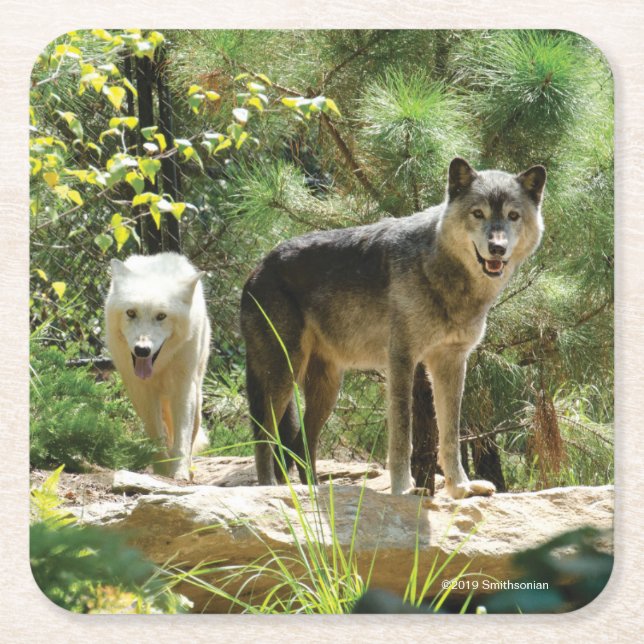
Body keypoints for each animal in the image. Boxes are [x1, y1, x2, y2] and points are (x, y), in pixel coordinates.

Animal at [105, 252, 211, 480]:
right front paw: (162, 468)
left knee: (192, 432)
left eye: (161, 316)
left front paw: (179, 473)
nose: (142, 350)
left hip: (197, 397)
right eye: (131, 313)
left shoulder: (183, 388)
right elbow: (156, 432)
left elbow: (182, 437)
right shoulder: (141, 390)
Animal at [241, 158, 546, 498]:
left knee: (300, 444)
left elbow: (450, 436)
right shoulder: (401, 358)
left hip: (326, 389)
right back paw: (268, 490)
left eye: (512, 216)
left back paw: (315, 494)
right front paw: (403, 489)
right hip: (283, 375)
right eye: (478, 214)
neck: (441, 271)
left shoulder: (451, 362)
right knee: (264, 439)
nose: (497, 247)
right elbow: (402, 435)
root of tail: (257, 268)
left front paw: (461, 488)